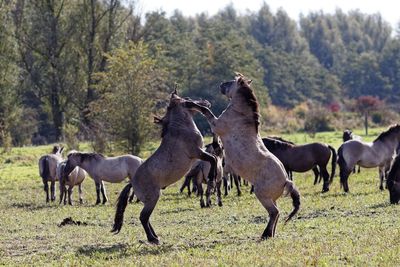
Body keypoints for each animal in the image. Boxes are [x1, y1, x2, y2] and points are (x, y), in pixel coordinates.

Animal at [112, 90, 217, 245]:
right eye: (188, 100)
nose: (206, 102)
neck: (181, 128)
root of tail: (133, 182)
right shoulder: (196, 152)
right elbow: (213, 159)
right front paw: (212, 177)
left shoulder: (199, 154)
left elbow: (213, 158)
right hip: (153, 198)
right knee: (143, 217)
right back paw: (153, 239)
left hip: (150, 200)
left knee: (146, 218)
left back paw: (155, 236)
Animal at [198, 74, 298, 241]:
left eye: (231, 82)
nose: (221, 84)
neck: (241, 114)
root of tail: (286, 180)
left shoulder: (217, 124)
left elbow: (206, 113)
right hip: (271, 198)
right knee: (277, 213)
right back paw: (270, 234)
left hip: (262, 195)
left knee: (274, 213)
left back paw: (265, 234)